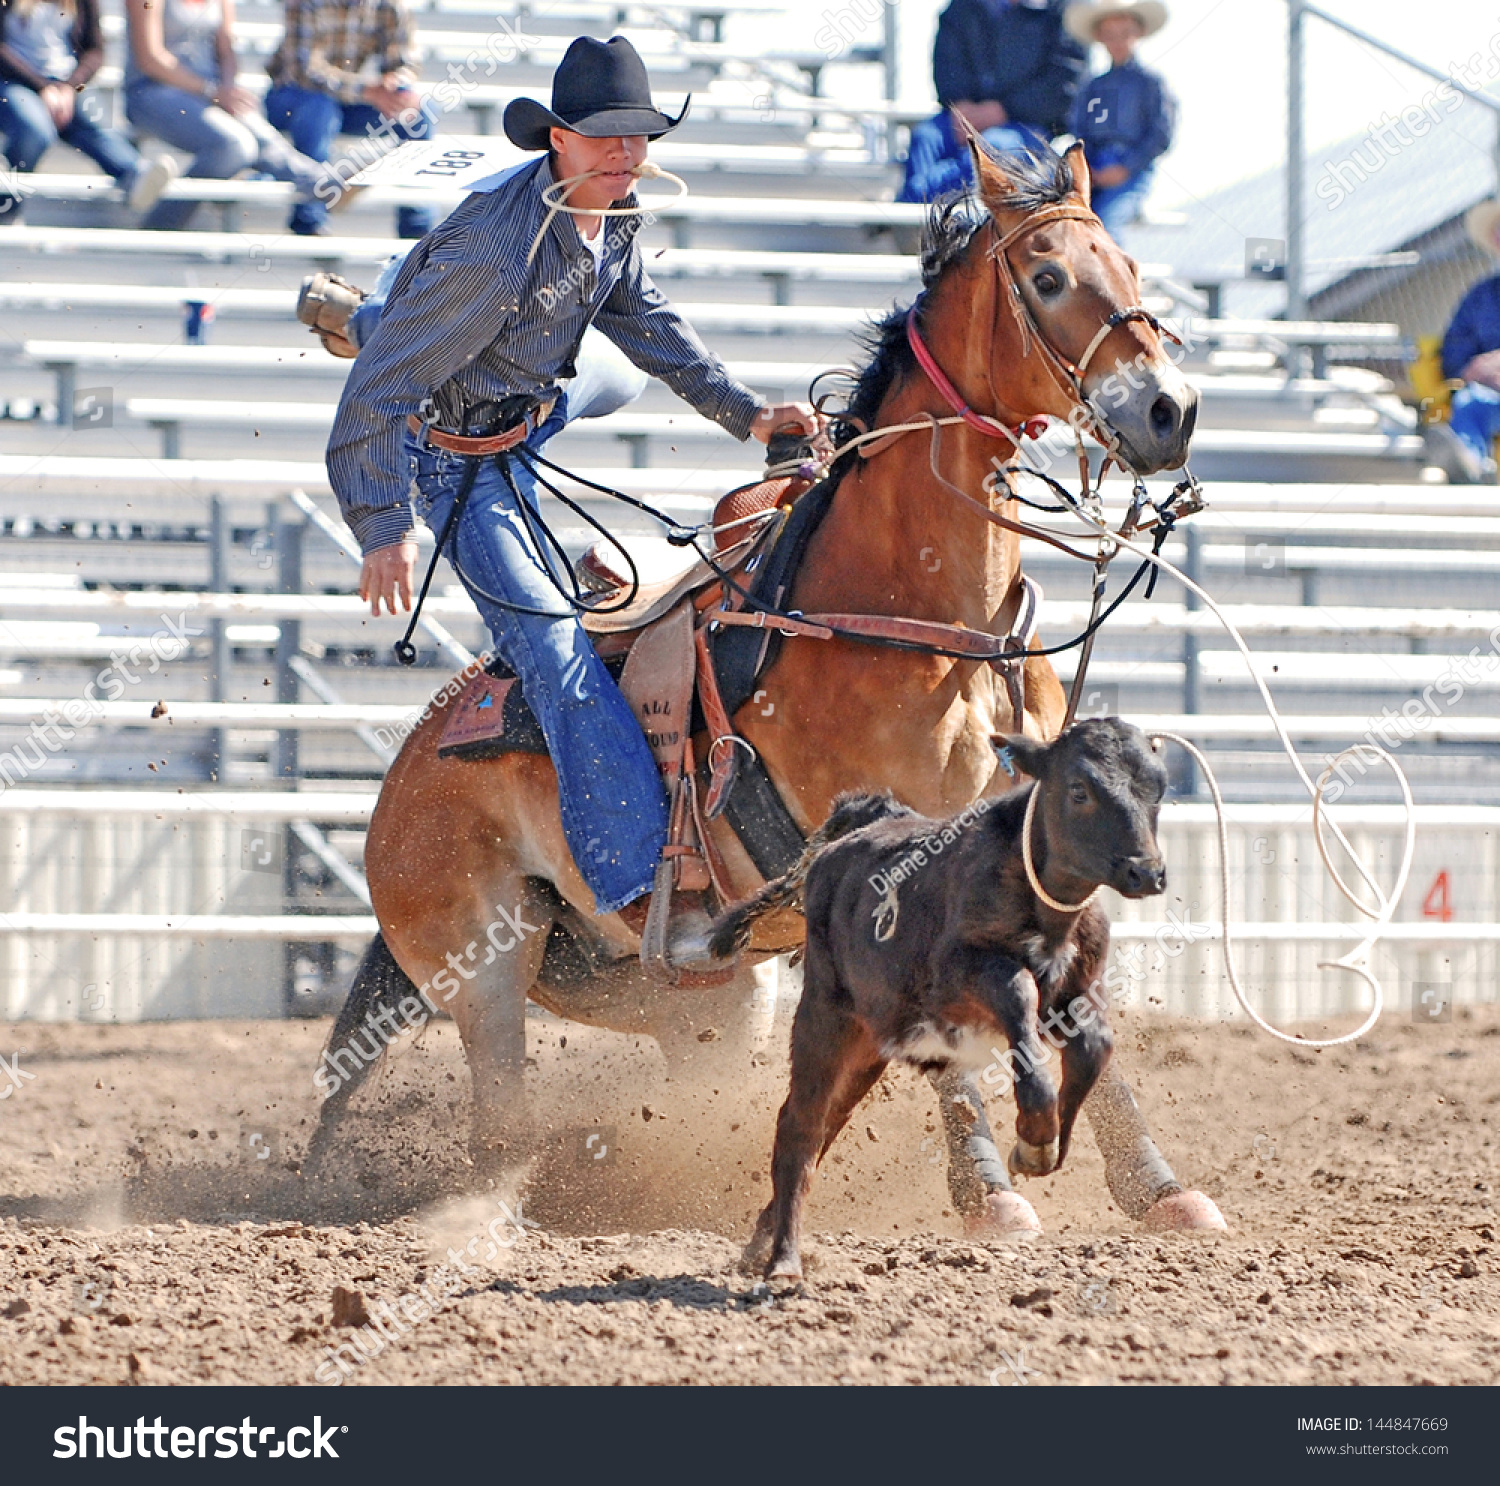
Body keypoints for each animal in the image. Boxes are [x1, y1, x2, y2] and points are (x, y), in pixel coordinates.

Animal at [310, 142, 1224, 1241]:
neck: (917, 621)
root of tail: (402, 773)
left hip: (696, 994)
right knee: (498, 1120)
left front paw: (1161, 1188)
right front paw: (992, 1196)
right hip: (483, 961)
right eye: (1046, 276)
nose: (1171, 410)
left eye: (1127, 265)